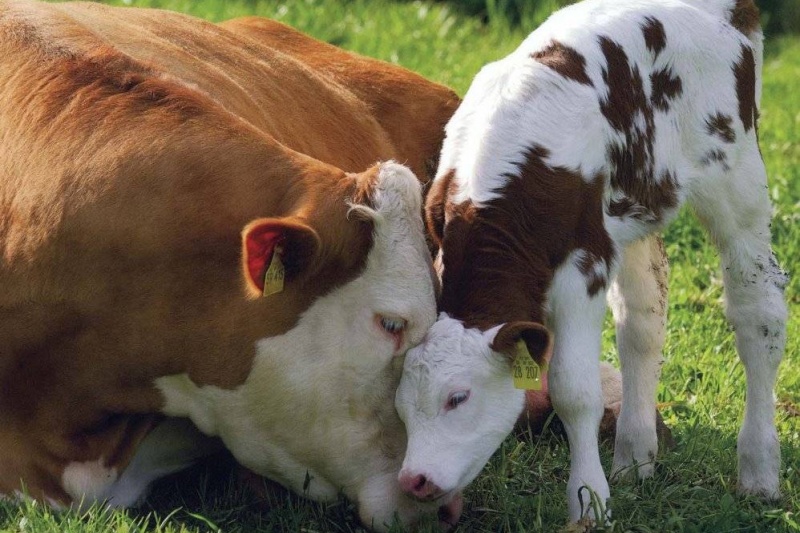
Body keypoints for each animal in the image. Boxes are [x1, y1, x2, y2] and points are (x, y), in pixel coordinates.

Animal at [396, 0, 788, 524]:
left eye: (457, 397)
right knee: (644, 320)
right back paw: (634, 458)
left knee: (758, 311)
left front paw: (589, 502)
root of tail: (734, 10)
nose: (413, 480)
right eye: (399, 407)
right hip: (635, 205)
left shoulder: (582, 266)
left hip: (736, 172)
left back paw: (759, 473)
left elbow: (573, 391)